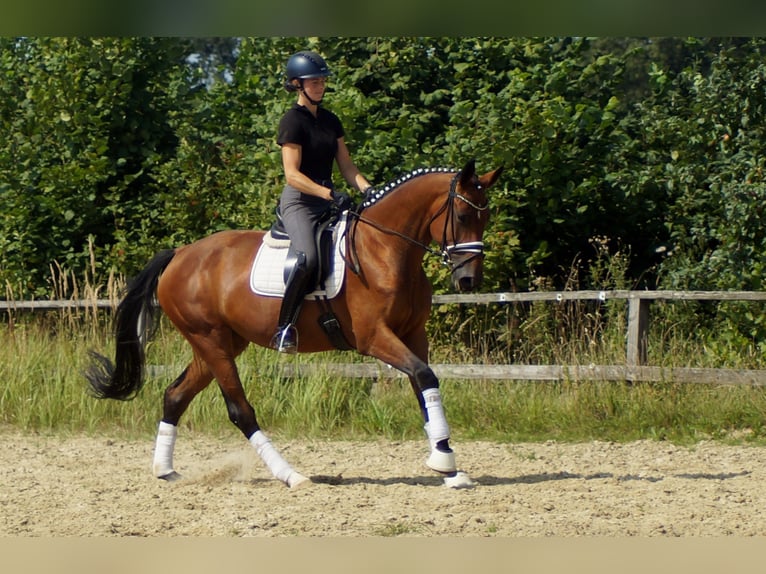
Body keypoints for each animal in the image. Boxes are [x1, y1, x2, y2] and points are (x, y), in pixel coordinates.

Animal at [85, 159, 504, 490]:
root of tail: (180, 255)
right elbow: (424, 376)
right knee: (240, 410)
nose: (469, 280)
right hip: (211, 341)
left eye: (486, 217)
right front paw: (444, 460)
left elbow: (423, 384)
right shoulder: (375, 338)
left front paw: (447, 465)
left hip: (218, 344)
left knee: (175, 395)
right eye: (463, 216)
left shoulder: (414, 335)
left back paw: (165, 470)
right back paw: (291, 475)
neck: (385, 249)